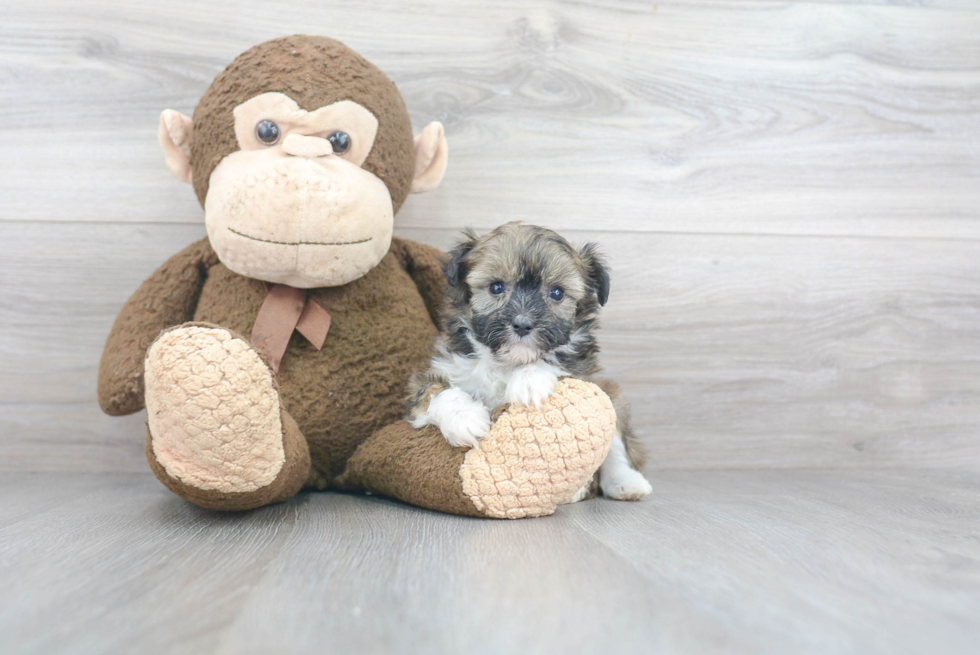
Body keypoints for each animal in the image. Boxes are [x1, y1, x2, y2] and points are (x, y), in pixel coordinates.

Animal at [406, 223, 652, 500]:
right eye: (496, 287)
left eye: (556, 293)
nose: (523, 324)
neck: (508, 361)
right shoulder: (439, 369)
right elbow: (436, 391)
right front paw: (464, 418)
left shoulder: (583, 372)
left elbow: (554, 362)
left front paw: (528, 380)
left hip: (611, 396)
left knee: (616, 445)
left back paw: (624, 482)